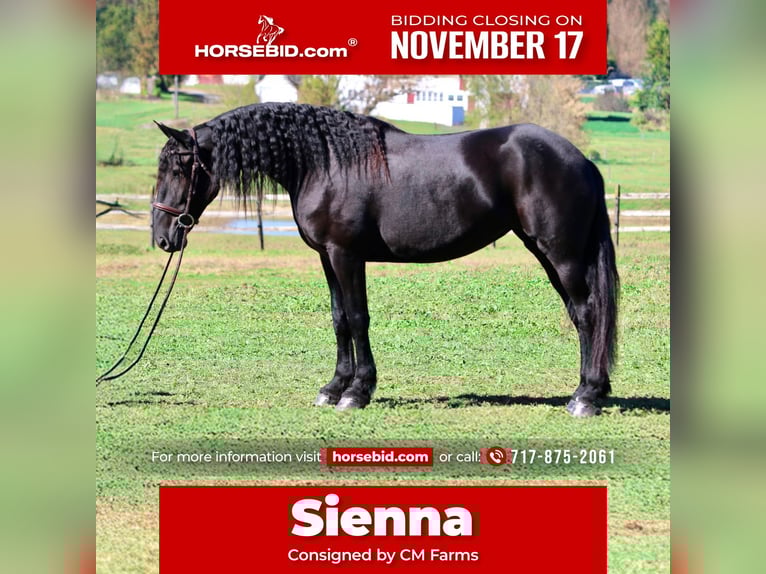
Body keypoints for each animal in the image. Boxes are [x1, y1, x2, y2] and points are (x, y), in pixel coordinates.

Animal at [151, 103, 619, 417]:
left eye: (177, 169)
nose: (162, 237)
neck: (325, 162)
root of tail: (581, 160)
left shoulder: (346, 255)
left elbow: (358, 319)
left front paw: (357, 393)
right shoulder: (328, 258)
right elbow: (339, 319)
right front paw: (333, 388)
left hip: (562, 253)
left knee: (587, 313)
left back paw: (585, 397)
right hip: (548, 252)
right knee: (582, 315)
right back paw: (592, 391)